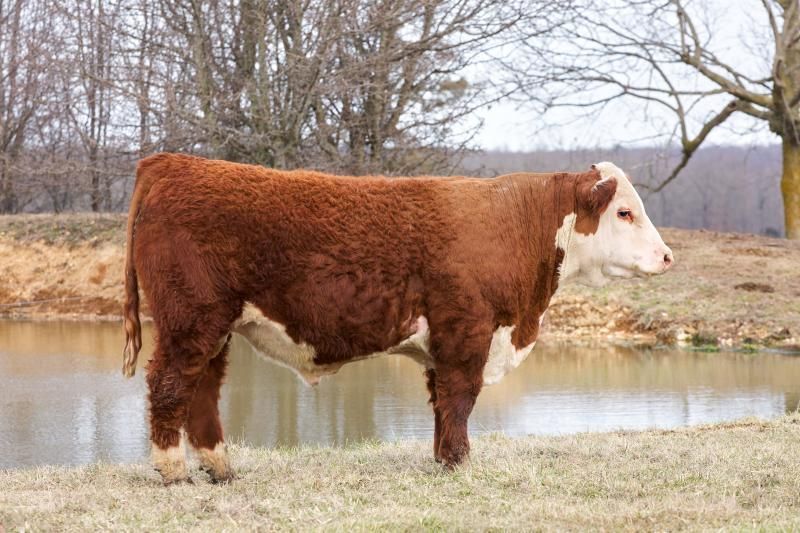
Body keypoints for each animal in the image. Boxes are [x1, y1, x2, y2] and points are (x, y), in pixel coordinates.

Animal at [121, 153, 673, 484]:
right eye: (624, 212)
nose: (667, 257)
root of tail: (170, 162)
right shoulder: (467, 332)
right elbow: (460, 399)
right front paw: (460, 464)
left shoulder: (444, 342)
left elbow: (442, 404)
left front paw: (443, 460)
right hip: (191, 320)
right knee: (170, 384)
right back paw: (174, 472)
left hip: (213, 329)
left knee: (202, 390)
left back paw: (221, 469)